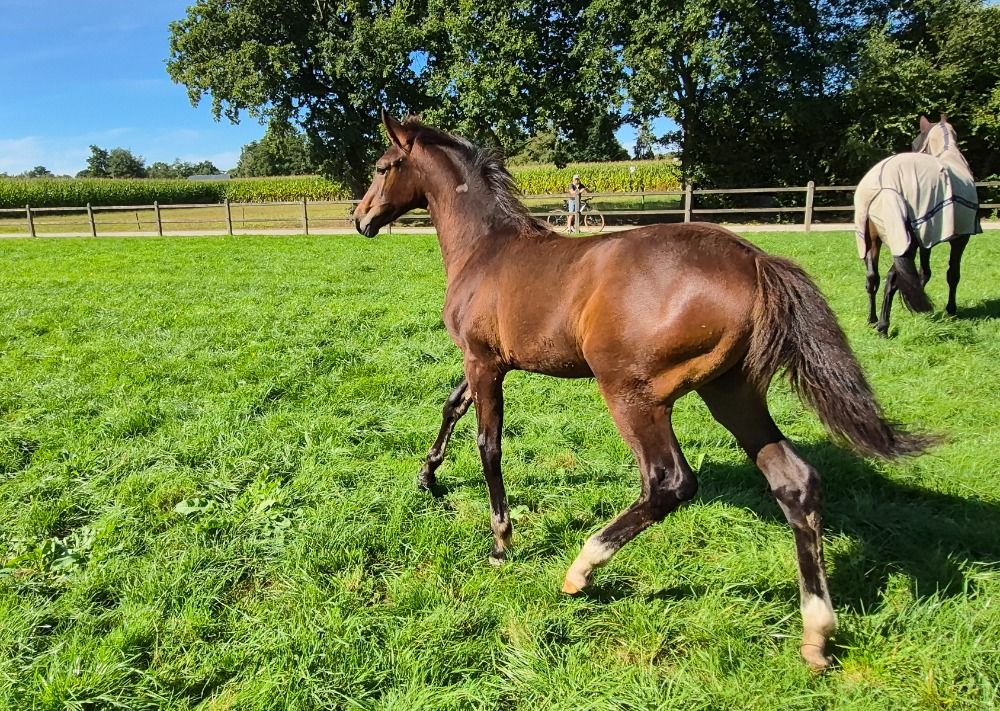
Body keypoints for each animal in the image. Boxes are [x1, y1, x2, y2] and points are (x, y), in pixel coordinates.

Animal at [353, 111, 932, 670]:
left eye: (382, 167)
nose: (361, 219)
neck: (486, 250)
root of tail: (755, 262)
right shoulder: (489, 364)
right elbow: (451, 407)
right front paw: (428, 477)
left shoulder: (483, 361)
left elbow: (488, 445)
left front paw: (500, 541)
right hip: (733, 394)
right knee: (795, 482)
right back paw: (816, 634)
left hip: (633, 394)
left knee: (668, 482)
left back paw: (582, 569)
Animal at [853, 115, 981, 336]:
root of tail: (885, 186)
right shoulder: (960, 239)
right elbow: (952, 274)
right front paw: (950, 310)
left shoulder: (926, 240)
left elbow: (923, 273)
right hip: (905, 242)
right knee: (891, 279)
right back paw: (883, 326)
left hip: (873, 240)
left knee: (872, 278)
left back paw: (872, 320)